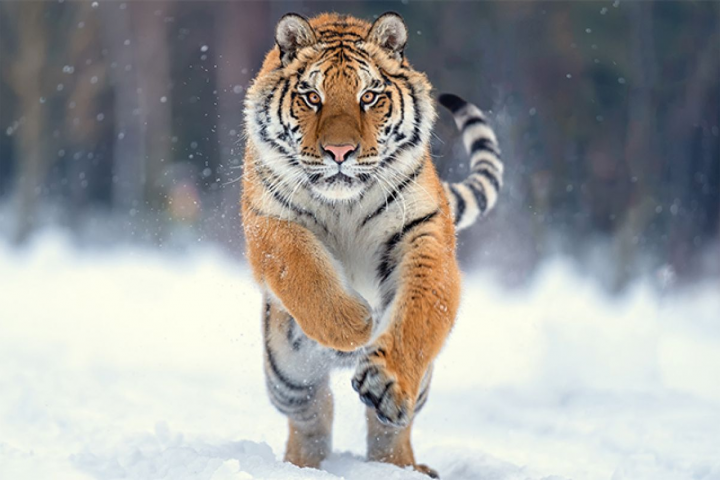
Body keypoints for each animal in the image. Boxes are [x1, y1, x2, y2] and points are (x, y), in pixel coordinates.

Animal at [241, 12, 503, 478]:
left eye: (369, 96)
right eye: (312, 97)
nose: (339, 151)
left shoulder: (423, 233)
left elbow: (420, 312)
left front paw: (386, 380)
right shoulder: (269, 222)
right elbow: (303, 270)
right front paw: (354, 324)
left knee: (388, 429)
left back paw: (401, 466)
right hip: (287, 374)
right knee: (312, 413)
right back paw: (301, 466)